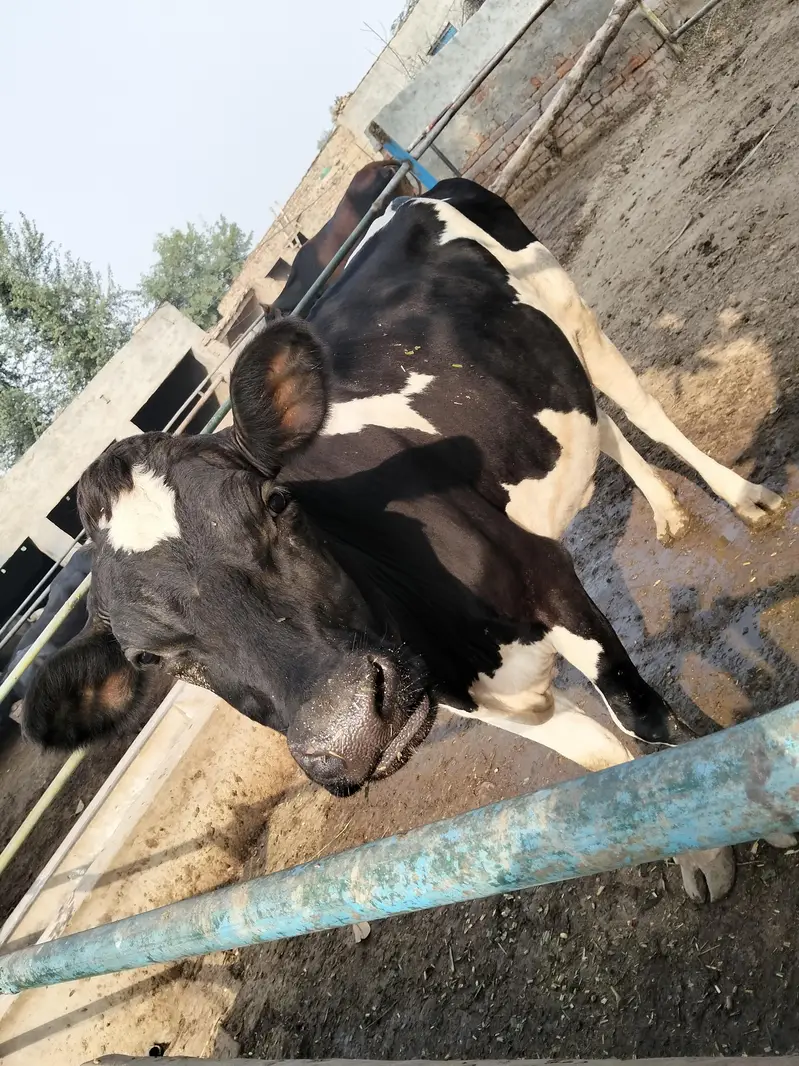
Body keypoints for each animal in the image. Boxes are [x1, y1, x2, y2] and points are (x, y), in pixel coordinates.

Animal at [22, 179, 786, 901]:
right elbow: (603, 759)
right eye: (148, 658)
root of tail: (412, 199)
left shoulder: (550, 583)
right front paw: (684, 844)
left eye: (276, 503)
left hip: (569, 309)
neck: (444, 639)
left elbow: (641, 716)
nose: (347, 729)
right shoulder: (484, 698)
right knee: (601, 428)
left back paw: (741, 497)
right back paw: (665, 509)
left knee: (639, 408)